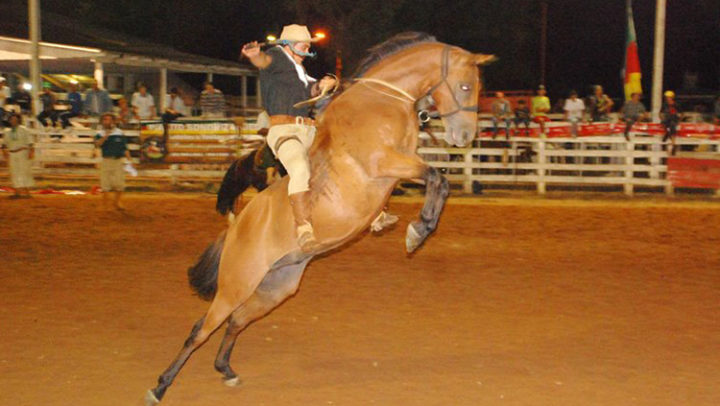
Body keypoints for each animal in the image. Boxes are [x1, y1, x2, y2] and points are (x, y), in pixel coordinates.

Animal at [146, 32, 496, 402]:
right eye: (465, 86)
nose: (464, 136)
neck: (380, 100)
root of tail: (238, 226)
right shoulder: (384, 162)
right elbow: (437, 178)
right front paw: (420, 229)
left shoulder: (401, 167)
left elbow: (437, 181)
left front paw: (413, 226)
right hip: (235, 285)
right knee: (201, 329)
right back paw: (160, 386)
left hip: (274, 288)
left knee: (237, 321)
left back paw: (225, 370)